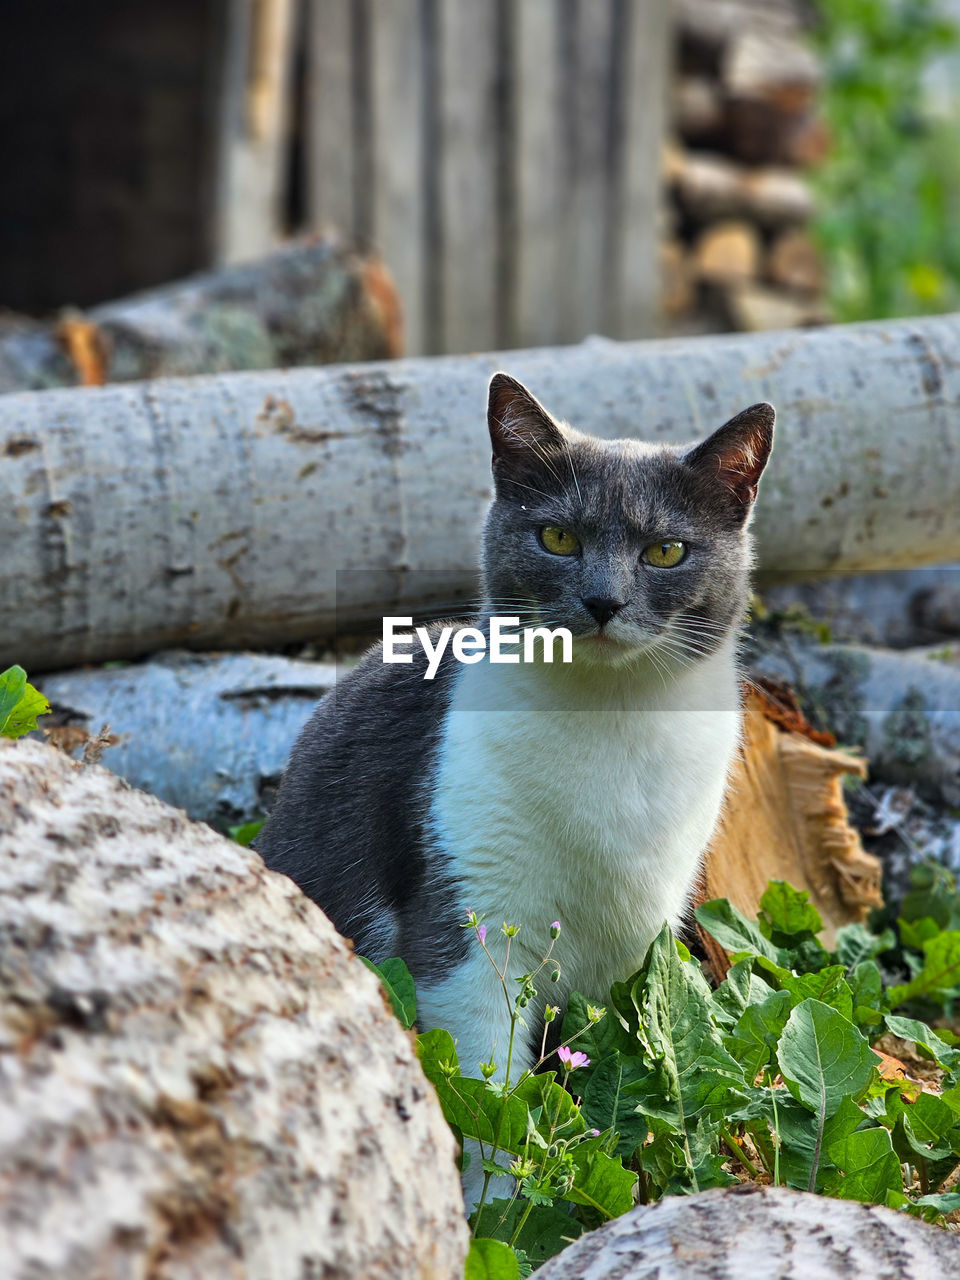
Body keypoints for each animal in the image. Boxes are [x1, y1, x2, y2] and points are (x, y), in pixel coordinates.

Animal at [257, 371, 773, 1177]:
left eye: (665, 550)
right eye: (558, 537)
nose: (603, 601)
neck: (610, 727)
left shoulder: (640, 950)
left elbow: (619, 1063)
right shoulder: (469, 926)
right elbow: (488, 1096)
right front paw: (492, 1199)